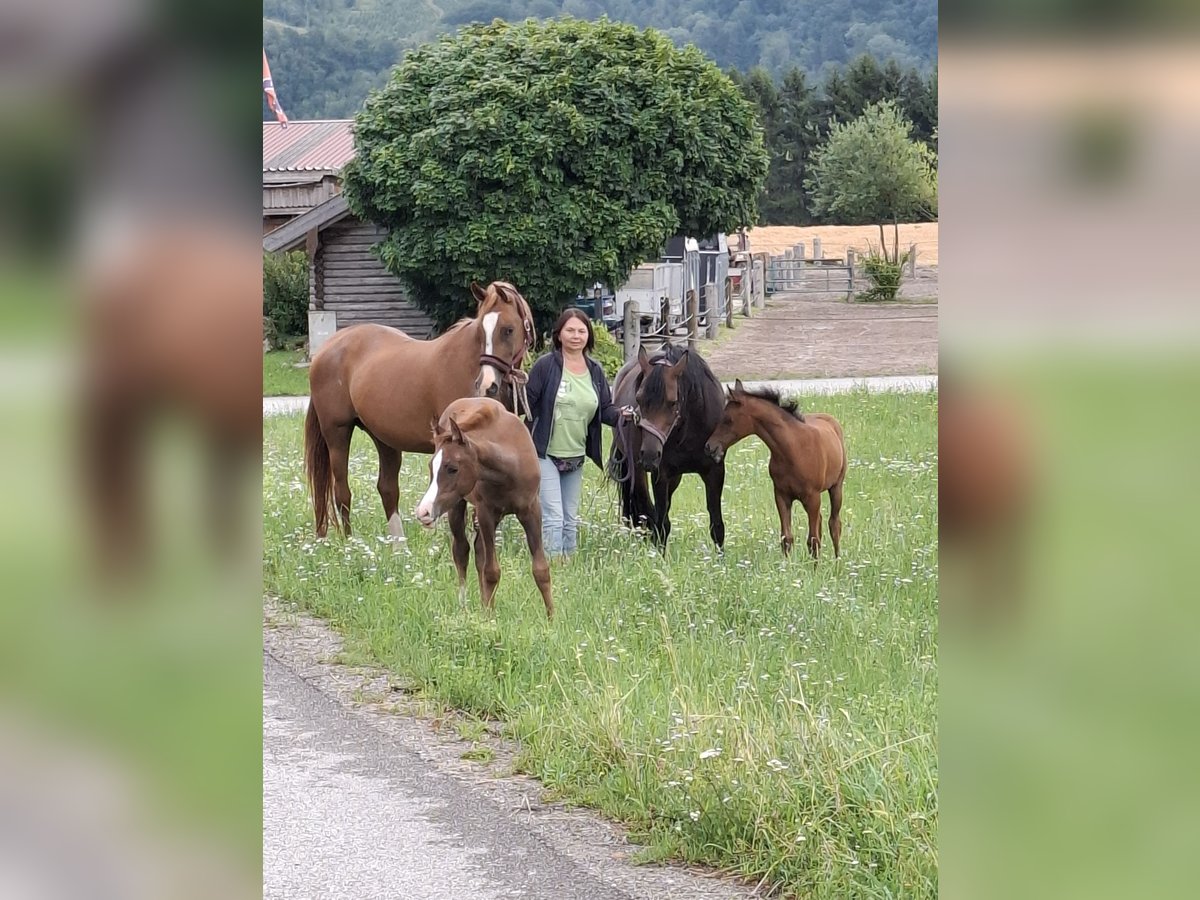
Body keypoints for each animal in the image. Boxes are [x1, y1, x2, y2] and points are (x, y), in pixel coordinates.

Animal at [304, 281, 535, 538]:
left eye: (508, 329)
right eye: (481, 331)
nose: (487, 384)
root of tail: (326, 349)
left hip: (384, 439)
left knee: (387, 489)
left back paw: (399, 544)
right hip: (337, 433)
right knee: (342, 490)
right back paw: (349, 541)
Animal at [414, 398, 553, 618]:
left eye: (452, 468)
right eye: (431, 467)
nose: (423, 512)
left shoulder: (531, 510)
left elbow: (541, 569)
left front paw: (551, 619)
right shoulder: (486, 513)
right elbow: (491, 571)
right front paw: (488, 618)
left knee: (479, 552)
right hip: (458, 506)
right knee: (462, 551)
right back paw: (465, 606)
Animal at [608, 343, 727, 550]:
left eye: (672, 402)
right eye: (639, 399)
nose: (649, 455)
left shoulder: (715, 471)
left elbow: (717, 526)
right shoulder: (660, 475)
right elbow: (662, 525)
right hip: (637, 470)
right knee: (644, 508)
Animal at [704, 379, 847, 558]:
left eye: (728, 419)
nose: (710, 447)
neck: (792, 449)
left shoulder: (813, 497)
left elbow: (813, 540)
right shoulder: (781, 495)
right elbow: (787, 538)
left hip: (836, 487)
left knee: (834, 524)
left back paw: (838, 560)